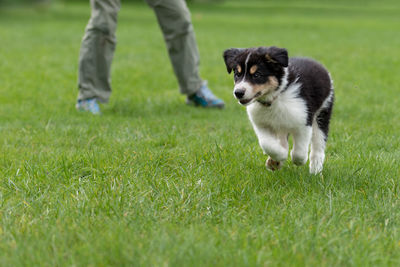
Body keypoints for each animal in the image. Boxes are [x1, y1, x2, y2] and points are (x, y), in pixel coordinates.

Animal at [223, 46, 332, 175]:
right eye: (237, 74)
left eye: (257, 75)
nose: (238, 93)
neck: (274, 99)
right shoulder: (261, 124)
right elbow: (267, 144)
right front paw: (278, 158)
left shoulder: (303, 120)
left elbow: (299, 152)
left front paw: (297, 160)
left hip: (323, 112)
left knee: (318, 144)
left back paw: (315, 170)